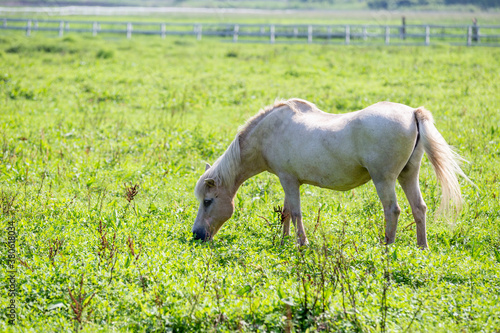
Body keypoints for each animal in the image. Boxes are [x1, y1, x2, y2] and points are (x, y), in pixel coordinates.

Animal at [192, 97, 468, 248]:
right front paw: (283, 241)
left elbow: (296, 213)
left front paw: (301, 242)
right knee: (418, 208)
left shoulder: (288, 180)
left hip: (384, 179)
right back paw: (422, 248)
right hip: (408, 175)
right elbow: (287, 212)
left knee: (393, 210)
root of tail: (412, 113)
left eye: (208, 201)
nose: (196, 235)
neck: (269, 132)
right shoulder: (288, 181)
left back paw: (387, 247)